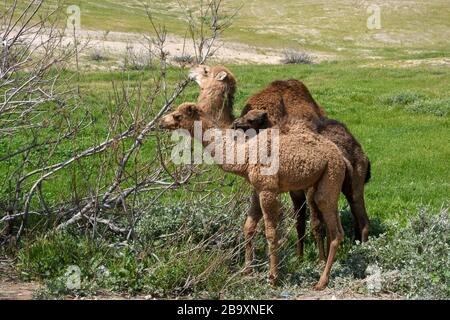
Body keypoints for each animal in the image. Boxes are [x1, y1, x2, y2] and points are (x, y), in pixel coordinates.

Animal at [160, 102, 346, 290]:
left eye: (177, 116)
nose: (161, 121)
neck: (245, 156)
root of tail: (341, 157)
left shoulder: (267, 189)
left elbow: (271, 233)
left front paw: (273, 278)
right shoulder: (256, 190)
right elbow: (248, 226)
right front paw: (247, 270)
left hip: (330, 174)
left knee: (335, 229)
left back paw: (321, 282)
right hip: (325, 181)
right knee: (334, 226)